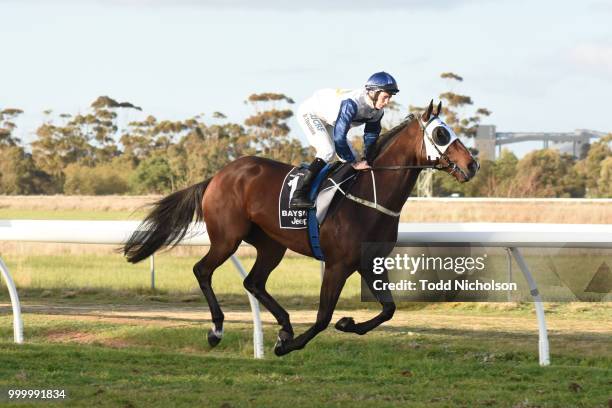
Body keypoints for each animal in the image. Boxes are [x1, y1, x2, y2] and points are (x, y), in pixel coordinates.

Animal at [123, 100, 478, 356]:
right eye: (441, 134)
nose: (472, 164)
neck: (369, 197)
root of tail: (218, 175)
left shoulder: (369, 262)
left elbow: (388, 309)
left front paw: (347, 324)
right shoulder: (337, 265)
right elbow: (322, 318)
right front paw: (288, 346)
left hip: (271, 245)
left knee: (253, 282)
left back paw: (284, 325)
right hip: (227, 238)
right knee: (202, 270)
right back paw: (218, 329)